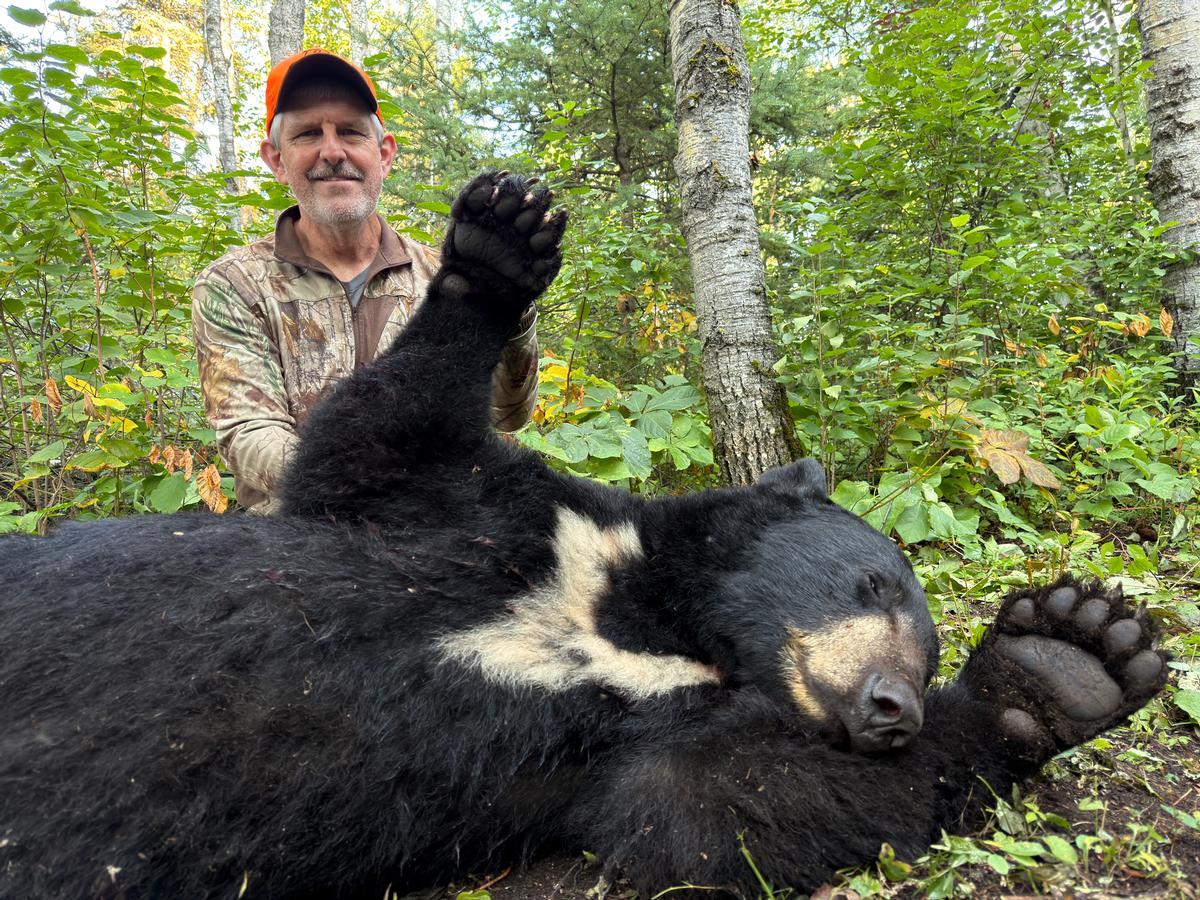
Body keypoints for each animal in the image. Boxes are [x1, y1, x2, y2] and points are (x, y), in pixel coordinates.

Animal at [0, 172, 1168, 900]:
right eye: (875, 582)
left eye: (925, 651)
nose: (891, 710)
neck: (645, 610)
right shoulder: (505, 510)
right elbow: (370, 439)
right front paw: (500, 242)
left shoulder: (625, 735)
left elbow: (708, 816)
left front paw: (1065, 662)